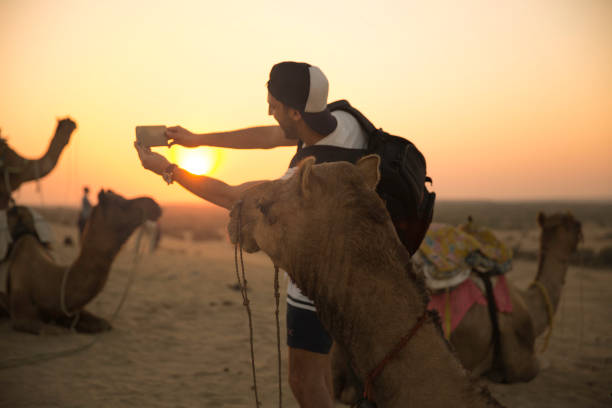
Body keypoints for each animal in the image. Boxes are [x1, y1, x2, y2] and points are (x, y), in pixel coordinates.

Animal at [0, 190, 163, 334]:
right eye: (121, 202)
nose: (154, 205)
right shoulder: (21, 310)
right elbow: (42, 328)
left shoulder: (71, 310)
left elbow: (103, 324)